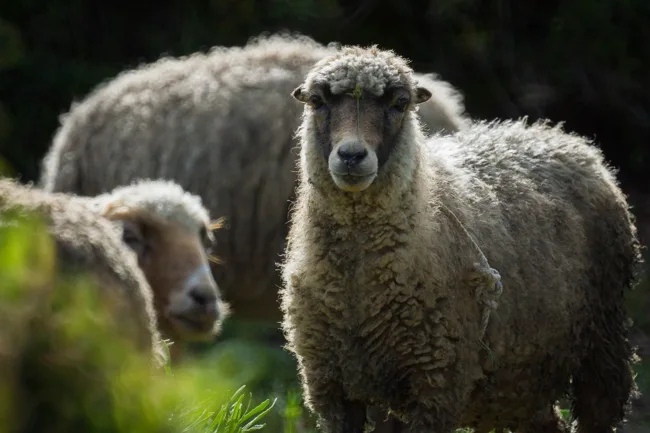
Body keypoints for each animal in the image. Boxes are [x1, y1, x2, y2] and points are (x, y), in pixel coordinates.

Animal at [279, 45, 642, 433]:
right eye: (317, 102)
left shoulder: (436, 384)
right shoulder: (332, 390)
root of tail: (561, 136)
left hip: (603, 343)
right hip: (523, 375)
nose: (351, 156)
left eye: (400, 103)